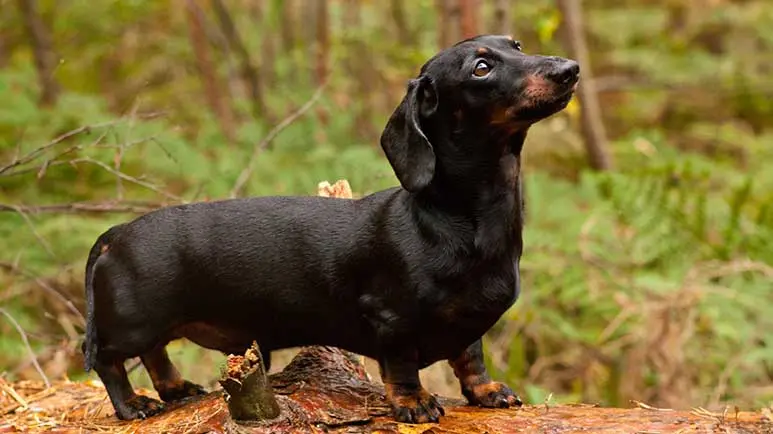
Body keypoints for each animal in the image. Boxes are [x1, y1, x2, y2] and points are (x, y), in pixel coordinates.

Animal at [83, 34, 580, 424]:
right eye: (481, 68)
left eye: (517, 45)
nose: (570, 69)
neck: (456, 218)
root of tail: (116, 234)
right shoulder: (391, 318)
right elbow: (402, 366)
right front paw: (413, 402)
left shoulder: (469, 321)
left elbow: (470, 355)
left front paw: (486, 391)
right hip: (132, 323)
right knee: (109, 361)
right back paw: (133, 405)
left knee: (155, 354)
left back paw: (176, 388)